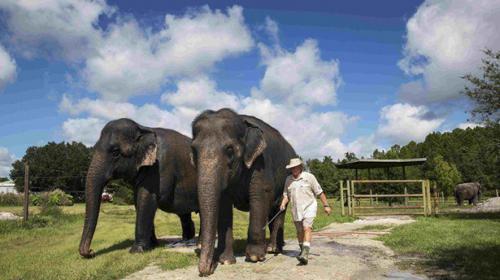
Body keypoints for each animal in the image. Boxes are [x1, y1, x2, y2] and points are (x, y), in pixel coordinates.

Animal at [78, 118, 197, 258]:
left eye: (115, 152)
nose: (91, 252)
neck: (143, 128)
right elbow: (138, 202)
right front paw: (152, 246)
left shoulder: (159, 168)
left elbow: (146, 200)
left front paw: (136, 251)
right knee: (184, 213)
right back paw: (187, 239)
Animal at [191, 107, 296, 276]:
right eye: (193, 150)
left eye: (229, 149)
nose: (205, 271)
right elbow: (224, 206)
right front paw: (225, 261)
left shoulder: (261, 163)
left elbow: (260, 197)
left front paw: (254, 257)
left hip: (288, 182)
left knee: (279, 210)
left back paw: (273, 249)